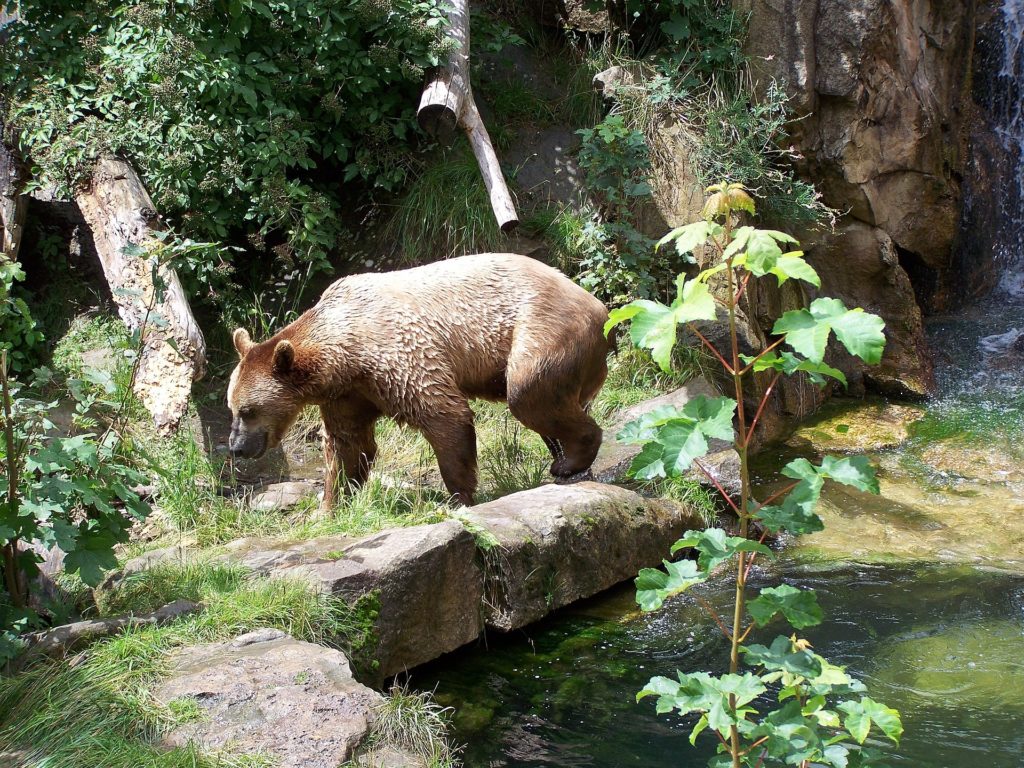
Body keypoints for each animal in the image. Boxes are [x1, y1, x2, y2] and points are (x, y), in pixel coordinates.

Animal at [228, 250, 610, 512]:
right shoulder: (348, 393)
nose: (236, 447)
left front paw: (457, 496)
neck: (344, 352)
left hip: (540, 328)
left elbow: (443, 414)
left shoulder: (395, 354)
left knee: (528, 393)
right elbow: (347, 444)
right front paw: (330, 507)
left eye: (248, 410)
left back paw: (570, 459)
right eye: (232, 407)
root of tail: (597, 305)